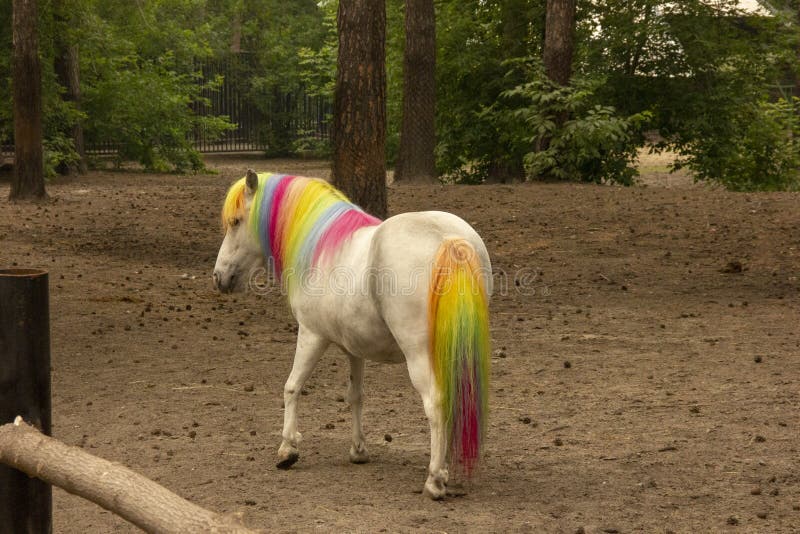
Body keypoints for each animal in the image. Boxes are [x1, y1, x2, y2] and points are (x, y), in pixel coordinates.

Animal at [211, 172, 488, 502]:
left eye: (236, 221)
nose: (219, 277)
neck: (320, 247)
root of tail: (448, 240)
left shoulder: (311, 335)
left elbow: (292, 387)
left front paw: (288, 449)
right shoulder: (355, 349)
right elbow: (355, 395)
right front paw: (358, 450)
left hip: (419, 355)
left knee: (435, 404)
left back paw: (434, 480)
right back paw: (444, 471)